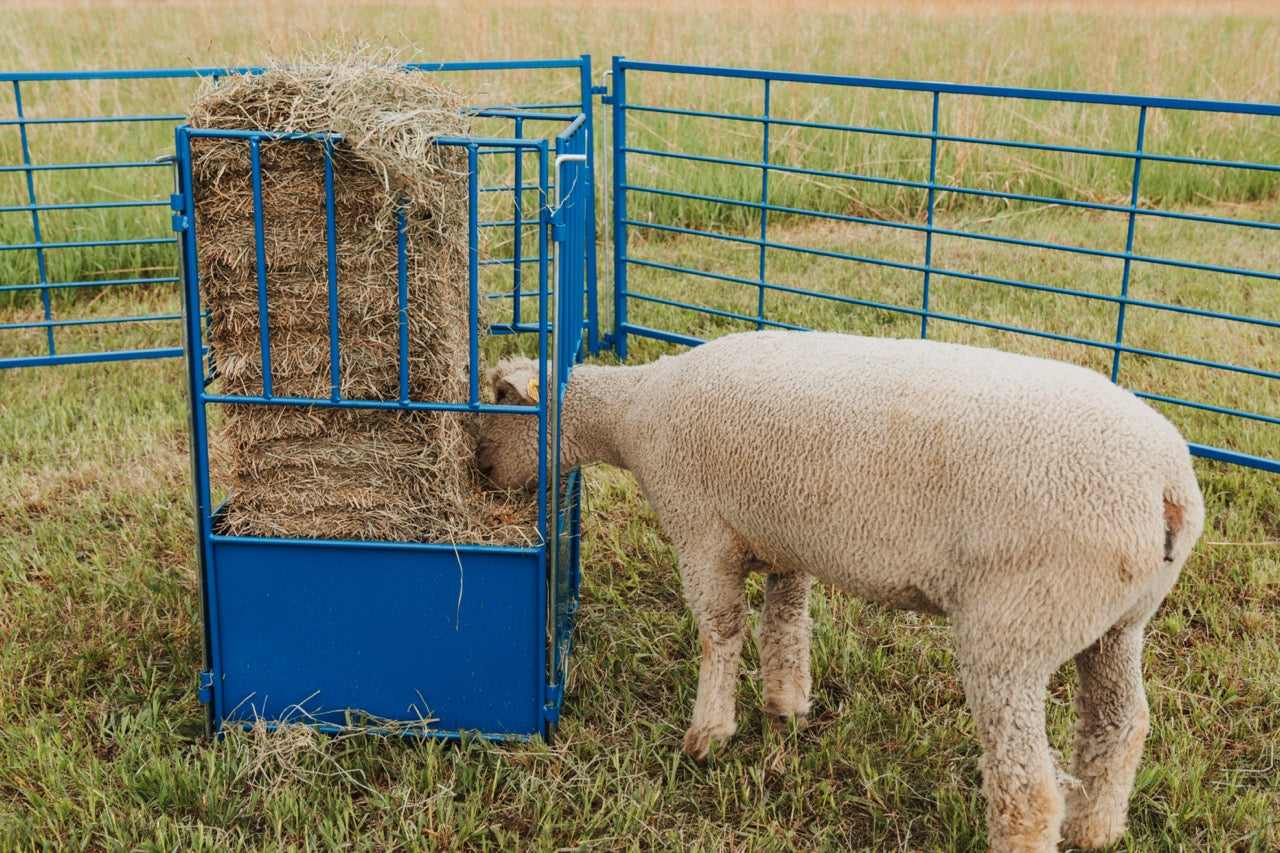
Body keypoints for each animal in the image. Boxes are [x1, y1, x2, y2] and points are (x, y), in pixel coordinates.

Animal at [477, 329, 1204, 853]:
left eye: (501, 409)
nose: (480, 472)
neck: (630, 415)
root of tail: (1166, 485)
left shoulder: (699, 527)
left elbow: (721, 631)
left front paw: (708, 734)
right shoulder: (783, 536)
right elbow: (784, 623)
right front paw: (786, 705)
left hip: (1018, 623)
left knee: (1027, 786)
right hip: (1118, 620)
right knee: (1120, 724)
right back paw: (1095, 829)